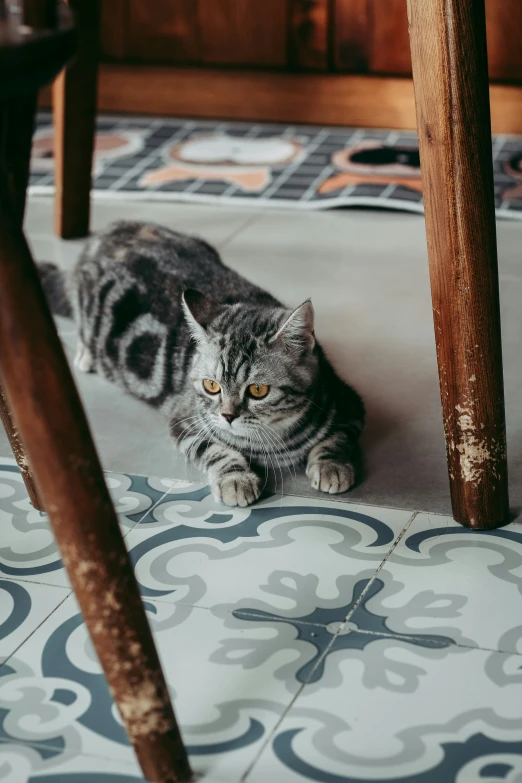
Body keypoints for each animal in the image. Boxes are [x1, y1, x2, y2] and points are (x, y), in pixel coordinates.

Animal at [40, 222, 364, 508]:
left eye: (258, 390)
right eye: (211, 386)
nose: (228, 416)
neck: (271, 440)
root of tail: (107, 232)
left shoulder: (350, 404)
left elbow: (337, 438)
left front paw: (332, 466)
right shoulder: (185, 420)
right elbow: (216, 450)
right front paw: (236, 479)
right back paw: (86, 354)